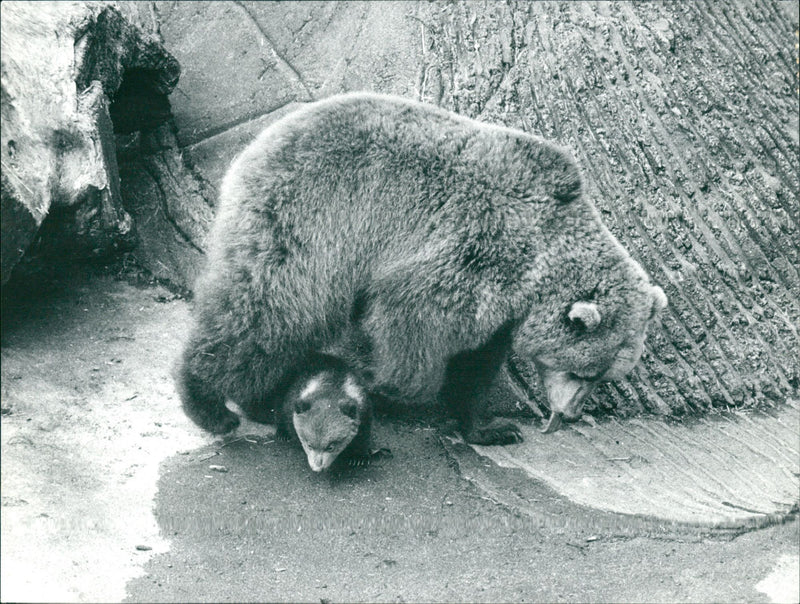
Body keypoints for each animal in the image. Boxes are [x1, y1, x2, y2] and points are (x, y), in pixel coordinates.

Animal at [175, 92, 666, 444]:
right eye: (587, 373)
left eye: (604, 376)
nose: (570, 412)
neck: (537, 262)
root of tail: (260, 139)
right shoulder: (472, 249)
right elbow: (410, 321)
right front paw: (383, 383)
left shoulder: (499, 307)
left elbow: (476, 364)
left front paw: (490, 427)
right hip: (314, 218)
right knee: (271, 309)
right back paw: (214, 404)